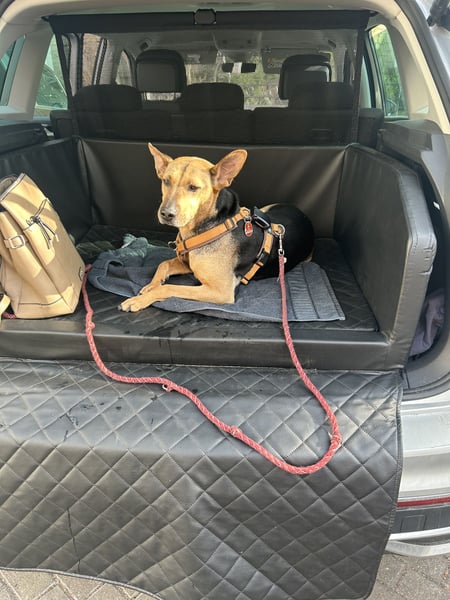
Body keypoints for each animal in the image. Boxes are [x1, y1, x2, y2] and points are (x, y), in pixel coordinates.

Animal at [119, 143, 314, 312]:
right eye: (166, 181)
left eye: (193, 187)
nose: (166, 214)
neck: (208, 227)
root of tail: (301, 213)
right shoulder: (189, 265)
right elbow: (163, 264)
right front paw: (150, 286)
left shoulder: (220, 291)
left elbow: (168, 288)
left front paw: (139, 300)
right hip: (264, 209)